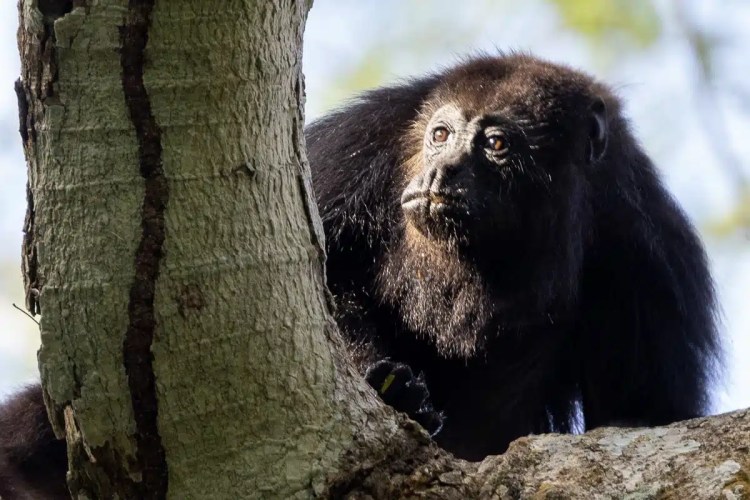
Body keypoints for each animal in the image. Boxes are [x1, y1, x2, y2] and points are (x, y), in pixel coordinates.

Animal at [0, 54, 721, 496]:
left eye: (495, 143)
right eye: (439, 134)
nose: (438, 173)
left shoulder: (649, 251)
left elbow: (643, 415)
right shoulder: (366, 145)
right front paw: (395, 386)